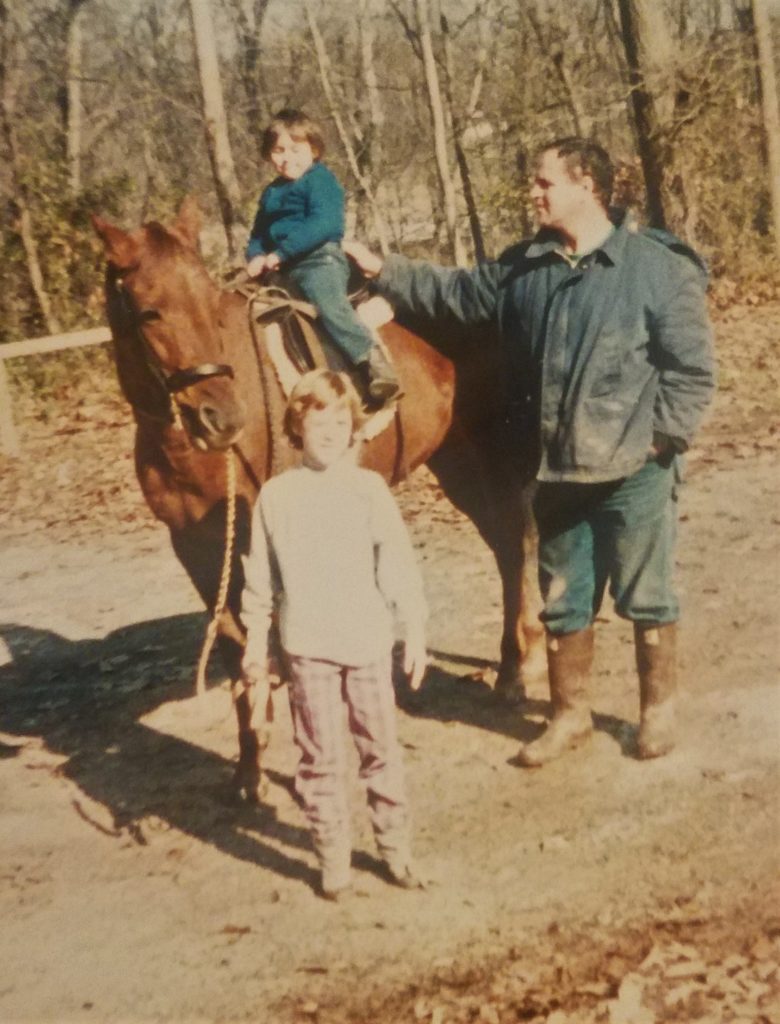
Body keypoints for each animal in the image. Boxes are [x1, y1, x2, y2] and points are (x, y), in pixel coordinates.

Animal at [91, 195, 540, 802]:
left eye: (210, 305)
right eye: (149, 312)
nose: (220, 419)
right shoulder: (196, 546)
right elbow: (235, 646)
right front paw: (249, 768)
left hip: (493, 452)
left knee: (515, 547)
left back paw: (515, 672)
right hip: (458, 462)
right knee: (505, 546)